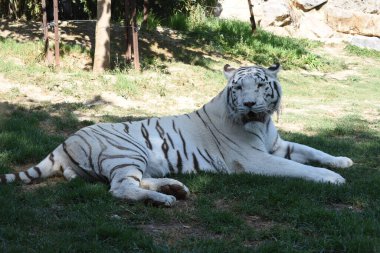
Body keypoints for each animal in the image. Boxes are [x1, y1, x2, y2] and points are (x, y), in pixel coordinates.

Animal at [0, 63, 354, 206]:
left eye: (260, 84)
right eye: (239, 88)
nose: (250, 104)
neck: (261, 122)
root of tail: (62, 143)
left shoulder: (277, 145)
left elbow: (313, 151)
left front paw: (343, 161)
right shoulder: (255, 159)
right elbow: (299, 167)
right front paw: (332, 178)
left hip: (134, 160)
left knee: (132, 182)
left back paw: (176, 187)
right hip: (127, 151)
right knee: (120, 189)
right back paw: (166, 198)